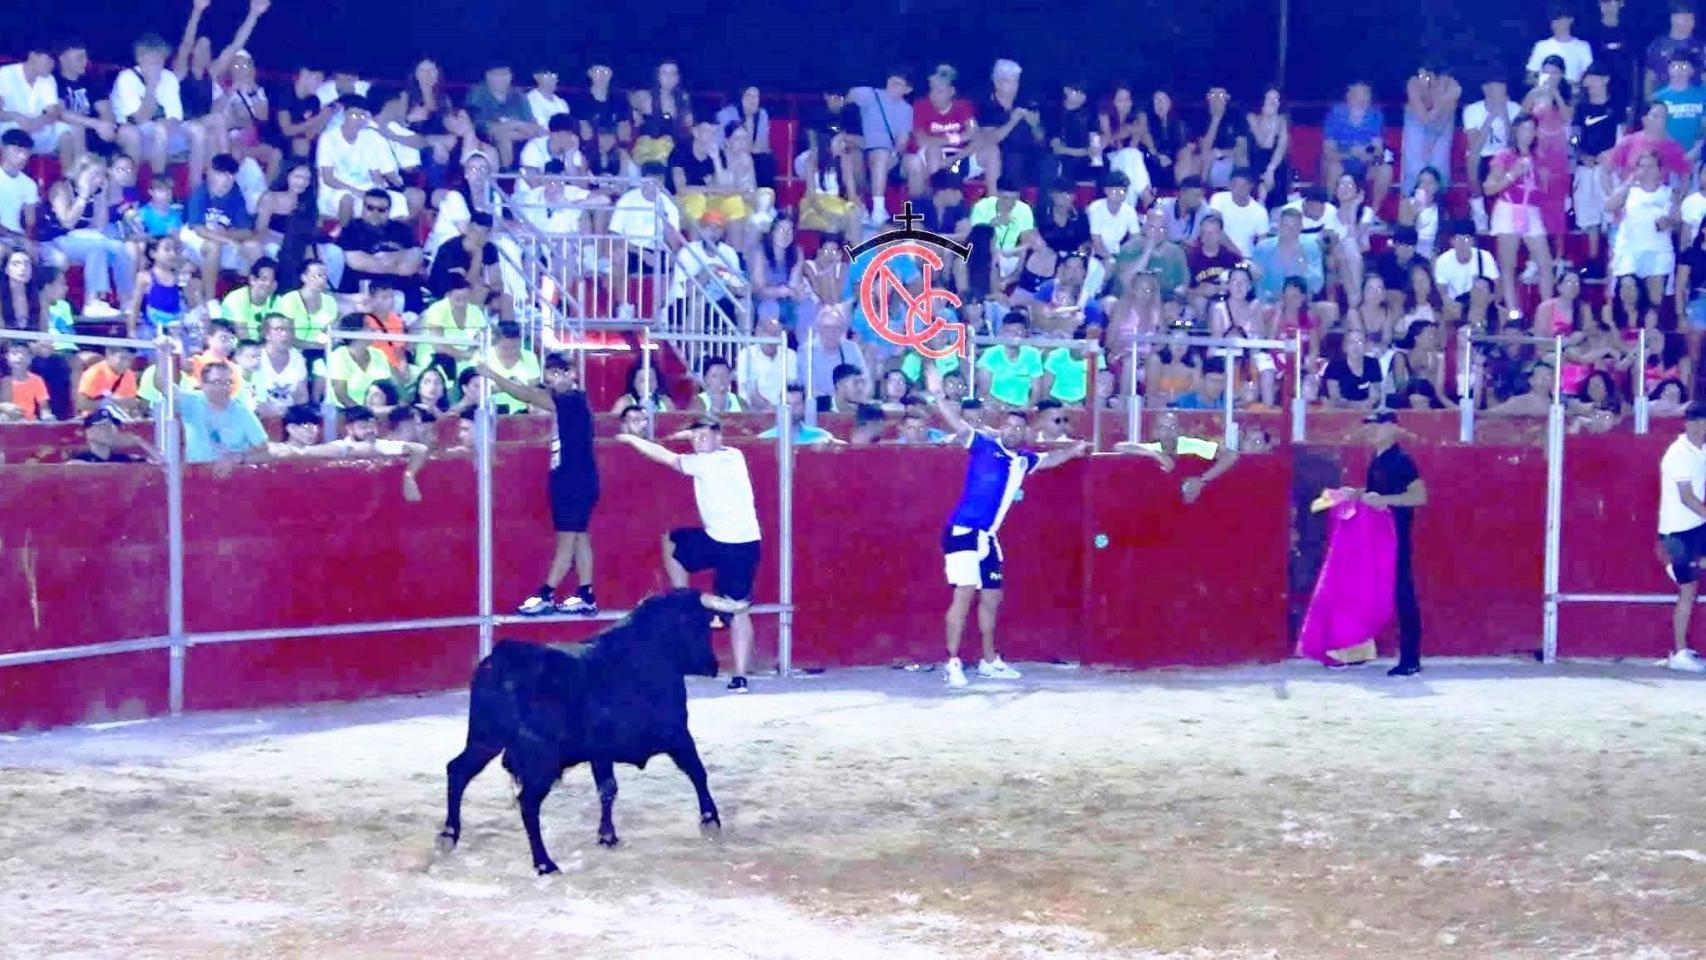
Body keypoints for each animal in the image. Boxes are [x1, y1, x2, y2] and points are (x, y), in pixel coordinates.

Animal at [436, 589, 723, 873]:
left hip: (485, 740)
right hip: (540, 760)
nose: (713, 665)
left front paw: (607, 835)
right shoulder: (677, 732)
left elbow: (607, 789)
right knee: (527, 802)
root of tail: (500, 663)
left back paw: (449, 834)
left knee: (458, 770)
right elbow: (697, 771)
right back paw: (544, 862)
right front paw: (710, 819)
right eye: (699, 625)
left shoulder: (601, 752)